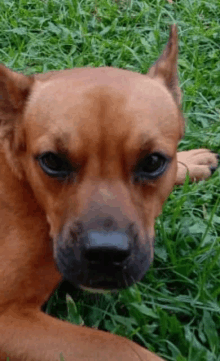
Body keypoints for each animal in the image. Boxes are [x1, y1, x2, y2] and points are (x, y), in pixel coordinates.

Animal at [0, 26, 218, 360]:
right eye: (52, 161)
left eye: (153, 162)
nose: (106, 254)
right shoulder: (9, 319)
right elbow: (120, 347)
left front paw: (188, 161)